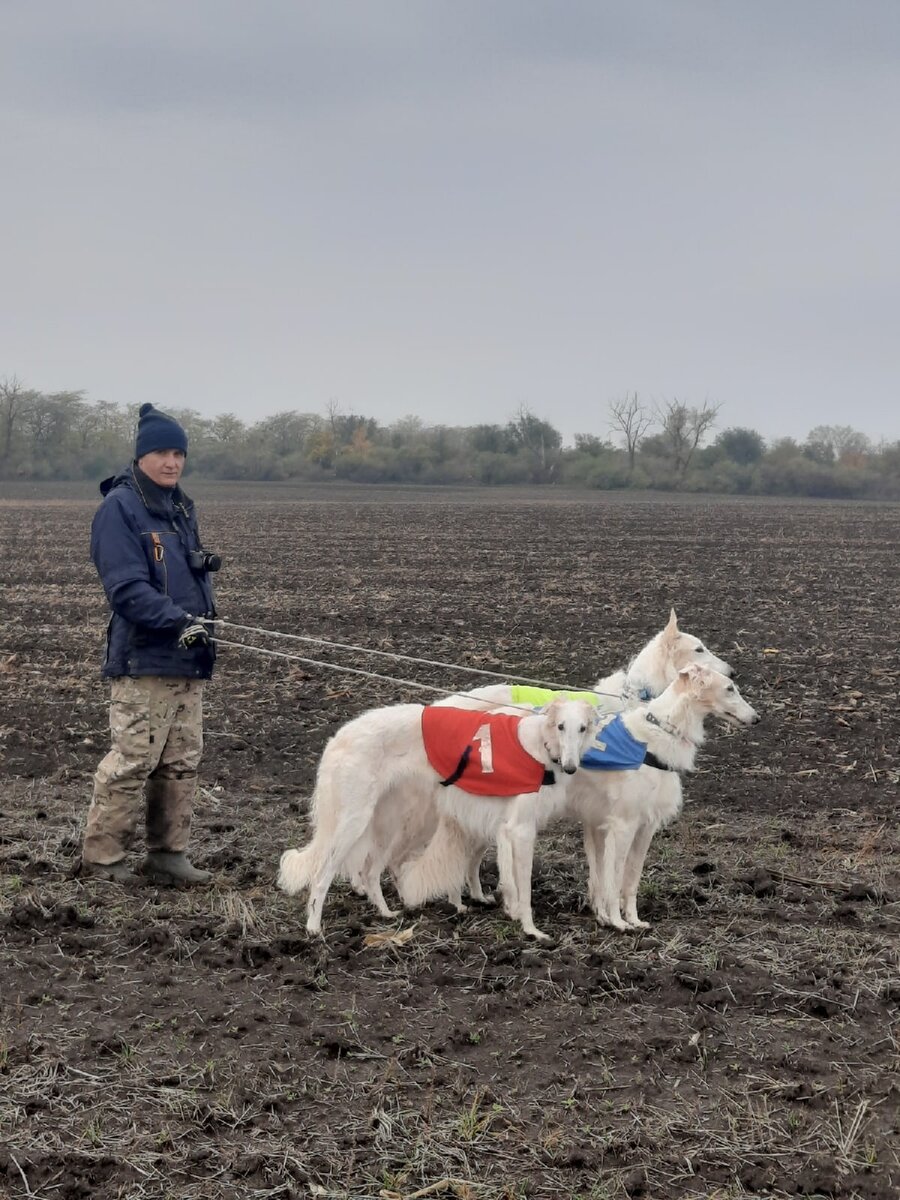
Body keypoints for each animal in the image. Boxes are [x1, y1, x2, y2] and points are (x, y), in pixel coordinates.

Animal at [277, 696, 600, 936]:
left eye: (583, 728)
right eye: (561, 726)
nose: (571, 767)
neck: (540, 746)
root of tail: (339, 736)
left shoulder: (499, 828)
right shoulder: (520, 830)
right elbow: (523, 890)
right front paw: (532, 930)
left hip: (388, 821)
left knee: (370, 871)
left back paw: (386, 913)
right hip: (354, 822)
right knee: (322, 875)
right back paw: (314, 928)